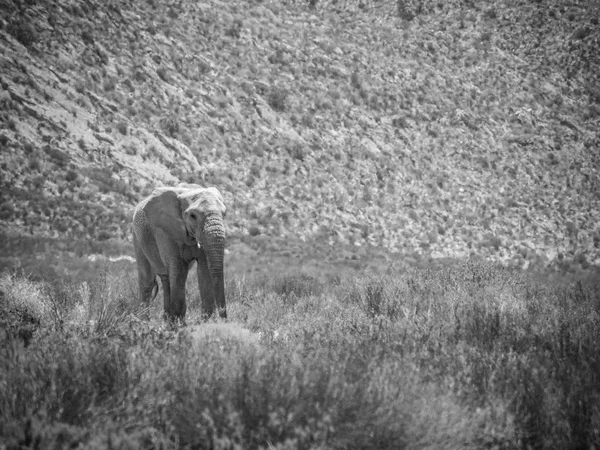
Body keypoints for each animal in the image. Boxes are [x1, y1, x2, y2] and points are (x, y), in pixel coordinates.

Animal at [132, 183, 226, 320]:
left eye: (224, 214)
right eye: (193, 216)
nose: (225, 318)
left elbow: (204, 270)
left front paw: (205, 322)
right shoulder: (165, 230)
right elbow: (178, 269)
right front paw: (179, 324)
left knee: (166, 278)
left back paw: (167, 320)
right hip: (137, 236)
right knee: (147, 281)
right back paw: (143, 322)